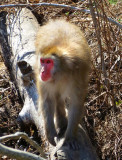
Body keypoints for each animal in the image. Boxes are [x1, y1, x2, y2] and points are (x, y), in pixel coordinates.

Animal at [35, 19, 90, 149]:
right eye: (42, 61)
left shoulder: (77, 78)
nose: (42, 71)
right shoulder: (44, 82)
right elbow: (47, 100)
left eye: (48, 62)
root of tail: (58, 21)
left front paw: (70, 138)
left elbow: (75, 103)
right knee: (57, 97)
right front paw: (50, 135)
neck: (60, 72)